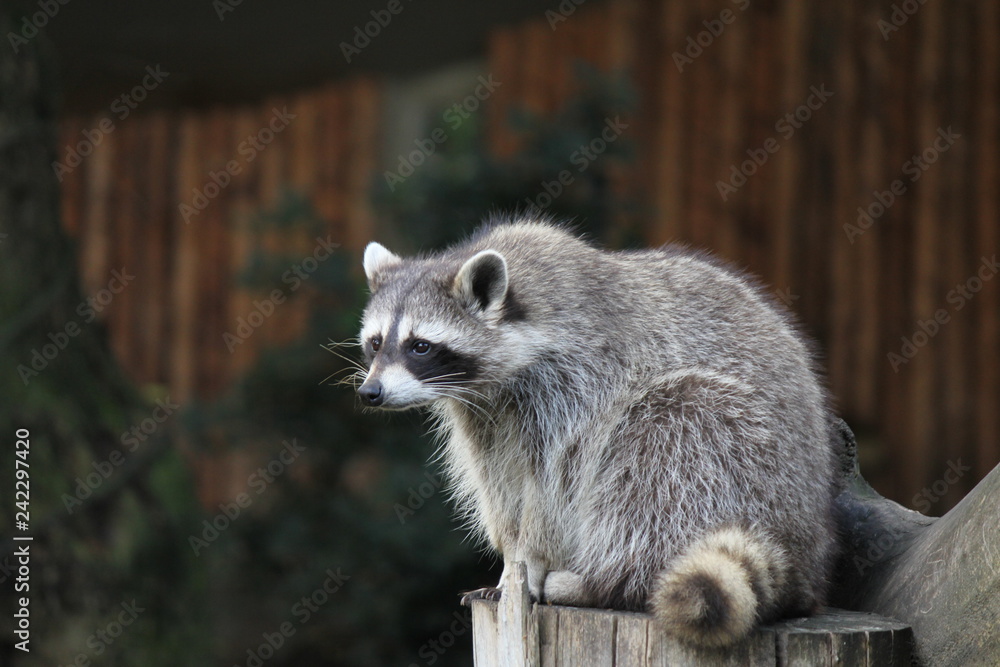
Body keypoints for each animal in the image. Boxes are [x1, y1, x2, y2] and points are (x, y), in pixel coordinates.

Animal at [356, 218, 838, 647]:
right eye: (376, 343)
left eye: (420, 346)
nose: (370, 392)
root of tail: (805, 561)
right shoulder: (484, 413)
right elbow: (501, 485)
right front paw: (510, 558)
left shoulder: (580, 384)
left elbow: (556, 485)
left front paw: (529, 559)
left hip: (742, 453)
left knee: (664, 451)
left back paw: (608, 583)